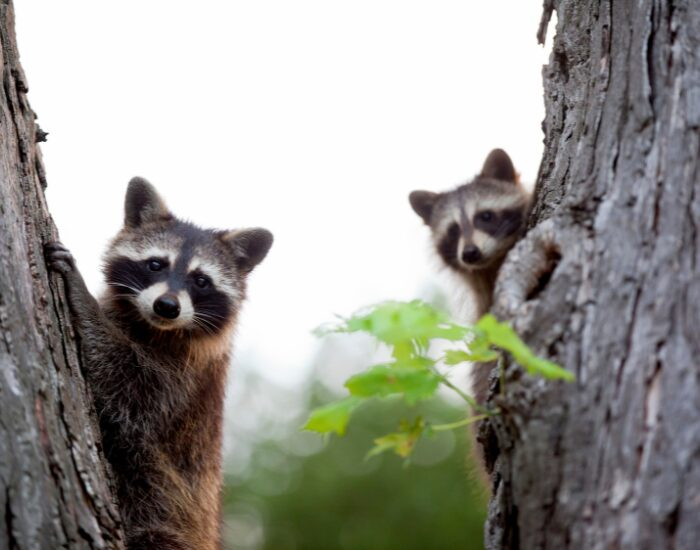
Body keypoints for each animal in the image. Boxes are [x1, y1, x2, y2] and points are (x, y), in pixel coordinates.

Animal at [45, 178, 273, 550]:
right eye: (156, 264)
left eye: (201, 281)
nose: (167, 306)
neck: (153, 326)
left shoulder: (185, 379)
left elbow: (129, 383)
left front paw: (82, 296)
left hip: (166, 512)